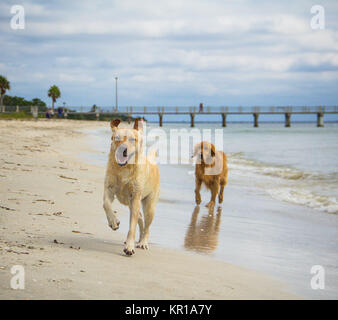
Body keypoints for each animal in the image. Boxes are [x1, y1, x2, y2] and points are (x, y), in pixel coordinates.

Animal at [103, 119, 160, 256]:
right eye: (117, 138)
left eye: (132, 139)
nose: (123, 150)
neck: (124, 168)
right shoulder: (109, 189)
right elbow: (106, 204)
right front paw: (113, 222)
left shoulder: (135, 197)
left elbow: (132, 227)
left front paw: (129, 246)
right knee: (140, 217)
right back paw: (139, 239)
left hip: (149, 205)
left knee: (147, 224)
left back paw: (143, 242)